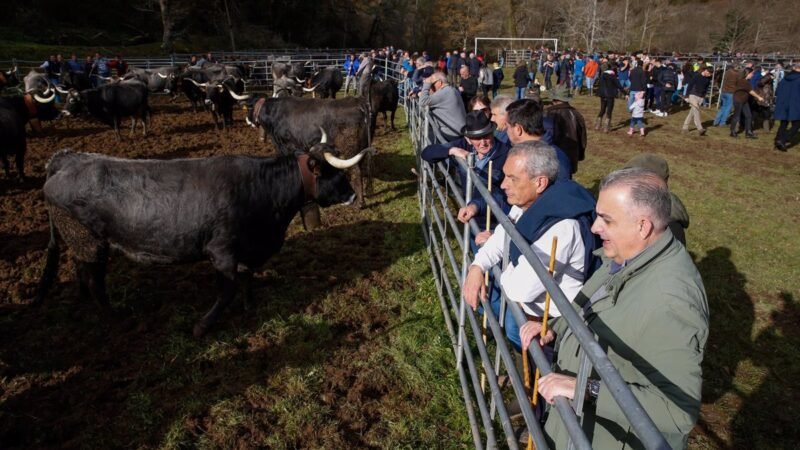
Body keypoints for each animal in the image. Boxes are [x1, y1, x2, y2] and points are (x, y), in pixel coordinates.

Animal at [34, 128, 366, 336]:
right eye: (333, 171)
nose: (352, 195)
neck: (262, 189)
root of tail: (67, 159)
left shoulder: (246, 249)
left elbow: (247, 277)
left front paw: (250, 305)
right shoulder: (221, 251)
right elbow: (228, 289)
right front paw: (203, 325)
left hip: (80, 240)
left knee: (82, 271)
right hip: (91, 242)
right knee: (95, 280)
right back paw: (116, 316)